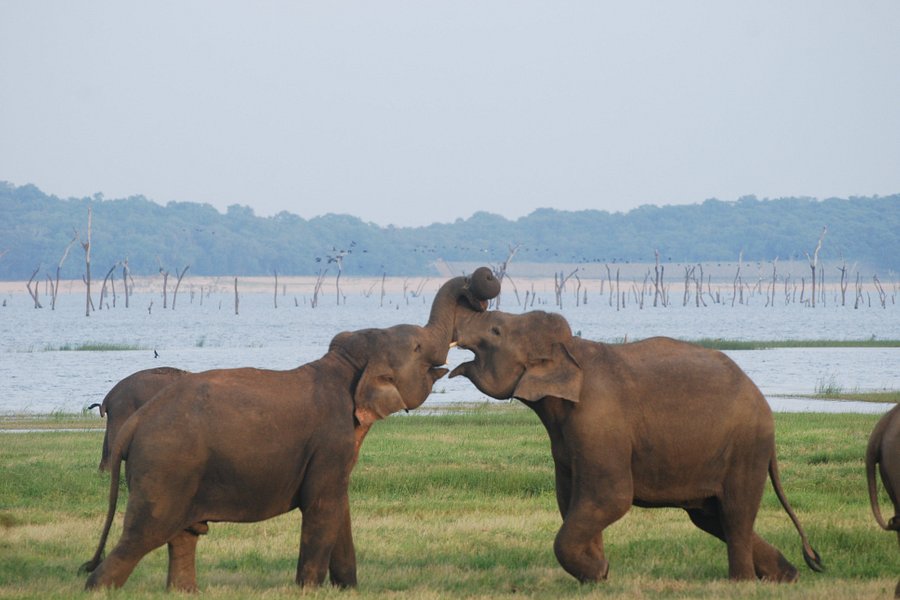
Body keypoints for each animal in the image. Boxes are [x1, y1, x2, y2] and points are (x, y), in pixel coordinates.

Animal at [81, 268, 502, 592]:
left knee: (183, 536)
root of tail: (135, 423)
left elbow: (339, 505)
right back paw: (98, 587)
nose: (477, 283)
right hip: (166, 467)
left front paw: (348, 589)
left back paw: (184, 592)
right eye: (416, 346)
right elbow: (322, 504)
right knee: (143, 535)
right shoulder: (330, 439)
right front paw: (310, 590)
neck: (346, 367)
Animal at [450, 312, 824, 584]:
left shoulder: (598, 420)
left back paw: (741, 584)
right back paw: (787, 577)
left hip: (746, 447)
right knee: (711, 516)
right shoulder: (567, 436)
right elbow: (571, 499)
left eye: (496, 330)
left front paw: (598, 573)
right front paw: (597, 576)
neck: (570, 347)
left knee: (735, 513)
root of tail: (762, 401)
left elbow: (610, 497)